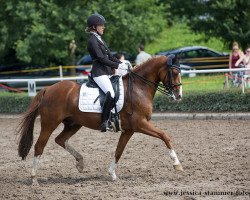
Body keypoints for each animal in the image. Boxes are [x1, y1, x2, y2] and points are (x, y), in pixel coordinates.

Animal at [17, 55, 182, 185]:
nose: (179, 96)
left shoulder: (129, 130)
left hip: (73, 124)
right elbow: (164, 136)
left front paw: (112, 174)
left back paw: (80, 163)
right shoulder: (140, 124)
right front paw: (177, 164)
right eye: (174, 72)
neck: (138, 88)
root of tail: (48, 89)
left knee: (60, 140)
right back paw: (34, 178)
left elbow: (119, 150)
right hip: (49, 124)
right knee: (39, 146)